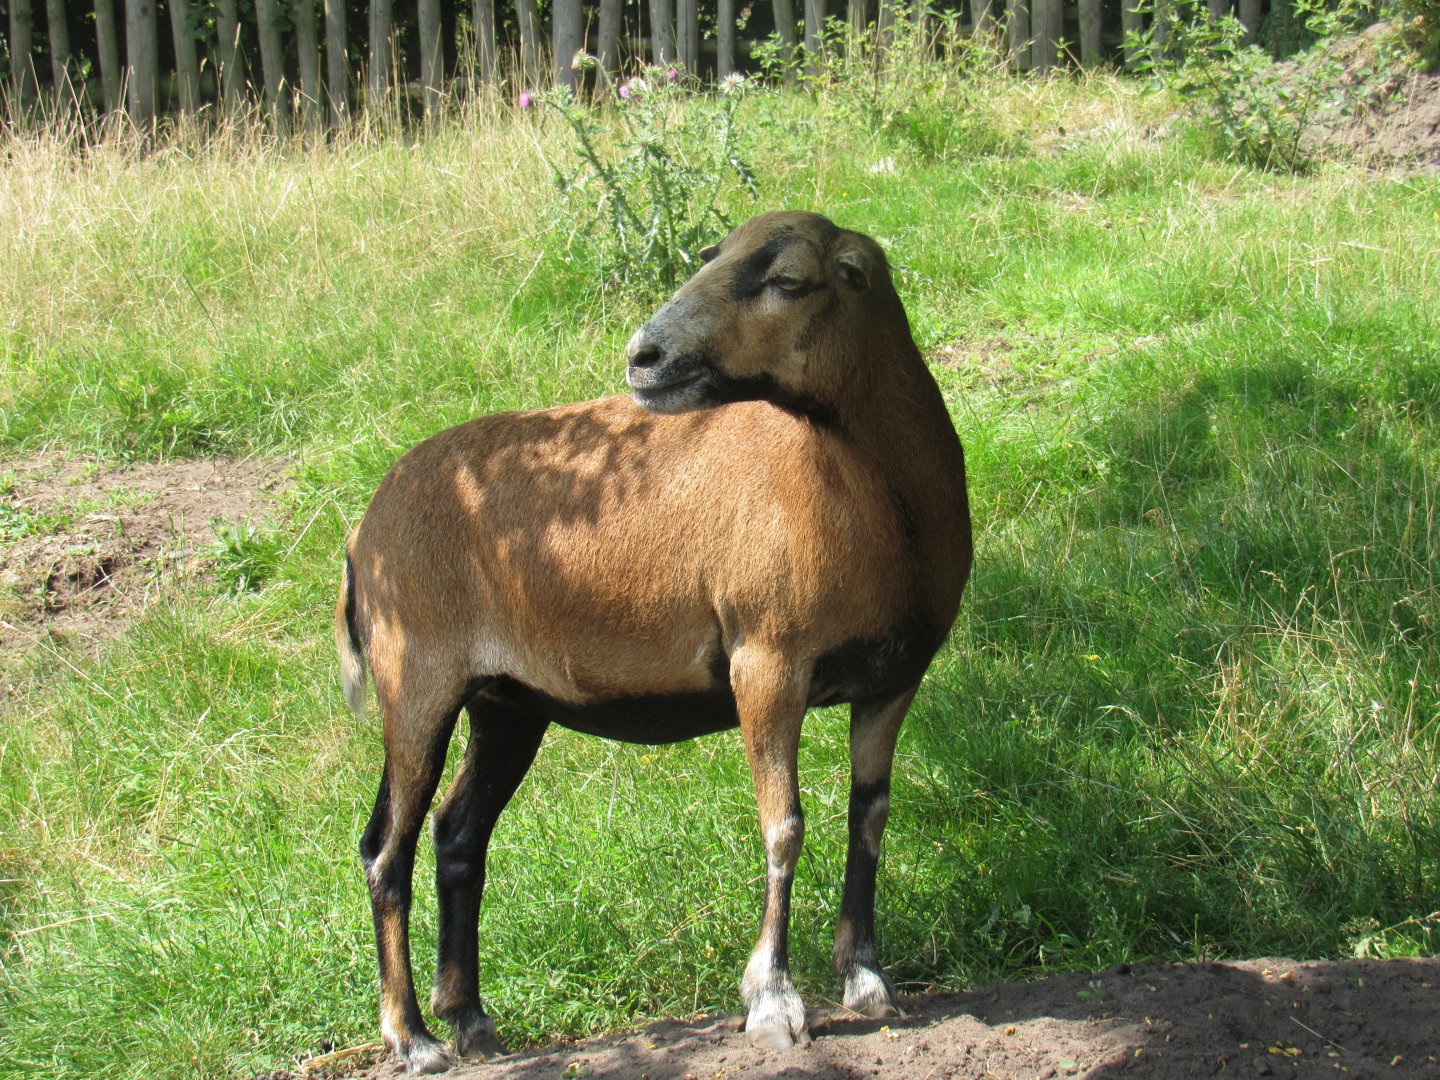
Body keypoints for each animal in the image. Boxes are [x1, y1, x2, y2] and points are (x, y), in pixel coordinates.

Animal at [337, 210, 972, 1073]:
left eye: (789, 280)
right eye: (709, 257)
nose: (645, 355)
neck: (883, 499)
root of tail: (363, 535)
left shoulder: (894, 677)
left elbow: (867, 815)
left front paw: (867, 978)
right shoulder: (765, 663)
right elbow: (785, 825)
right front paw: (773, 1001)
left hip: (508, 703)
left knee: (458, 833)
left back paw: (469, 1018)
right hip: (416, 683)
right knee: (385, 850)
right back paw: (412, 1037)